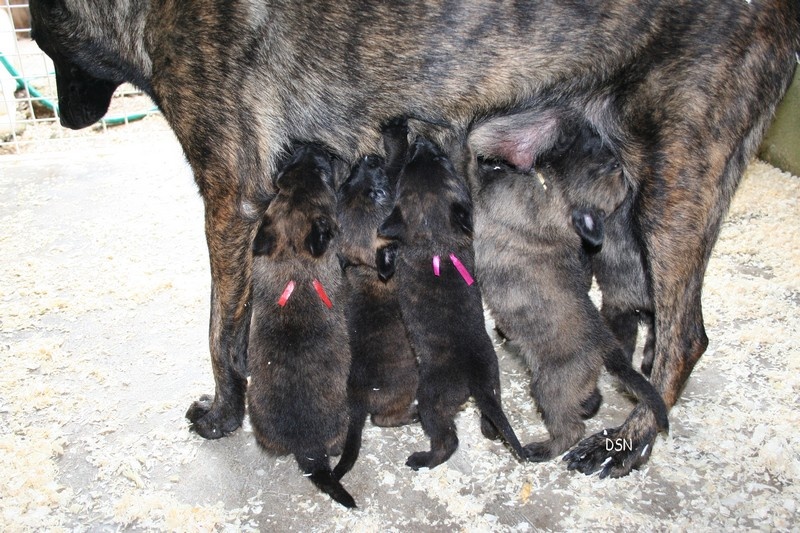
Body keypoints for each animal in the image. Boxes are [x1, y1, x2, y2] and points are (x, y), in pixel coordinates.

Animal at [247, 143, 354, 510]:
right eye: (323, 175)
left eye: (288, 173)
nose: (310, 147)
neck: (293, 257)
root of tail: (309, 451)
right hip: (342, 422)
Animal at [378, 120, 528, 470]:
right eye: (442, 163)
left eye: (413, 165)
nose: (423, 142)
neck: (436, 234)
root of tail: (473, 378)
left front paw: (395, 135)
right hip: (493, 382)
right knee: (491, 417)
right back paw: (489, 429)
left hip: (430, 398)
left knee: (447, 439)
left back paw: (423, 458)